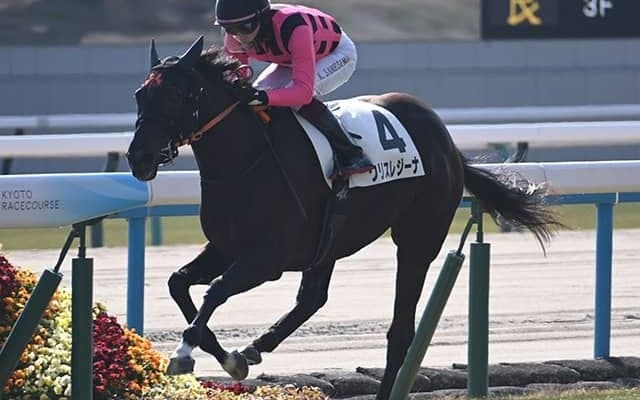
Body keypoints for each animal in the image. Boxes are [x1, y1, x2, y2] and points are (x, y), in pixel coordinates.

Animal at [126, 37, 560, 400]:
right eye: (140, 94)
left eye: (176, 94)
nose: (138, 158)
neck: (247, 160)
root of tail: (448, 143)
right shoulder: (225, 247)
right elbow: (178, 283)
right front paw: (227, 356)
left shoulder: (267, 259)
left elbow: (214, 291)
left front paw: (186, 352)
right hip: (331, 240)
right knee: (313, 297)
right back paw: (256, 346)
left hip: (418, 237)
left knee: (399, 330)